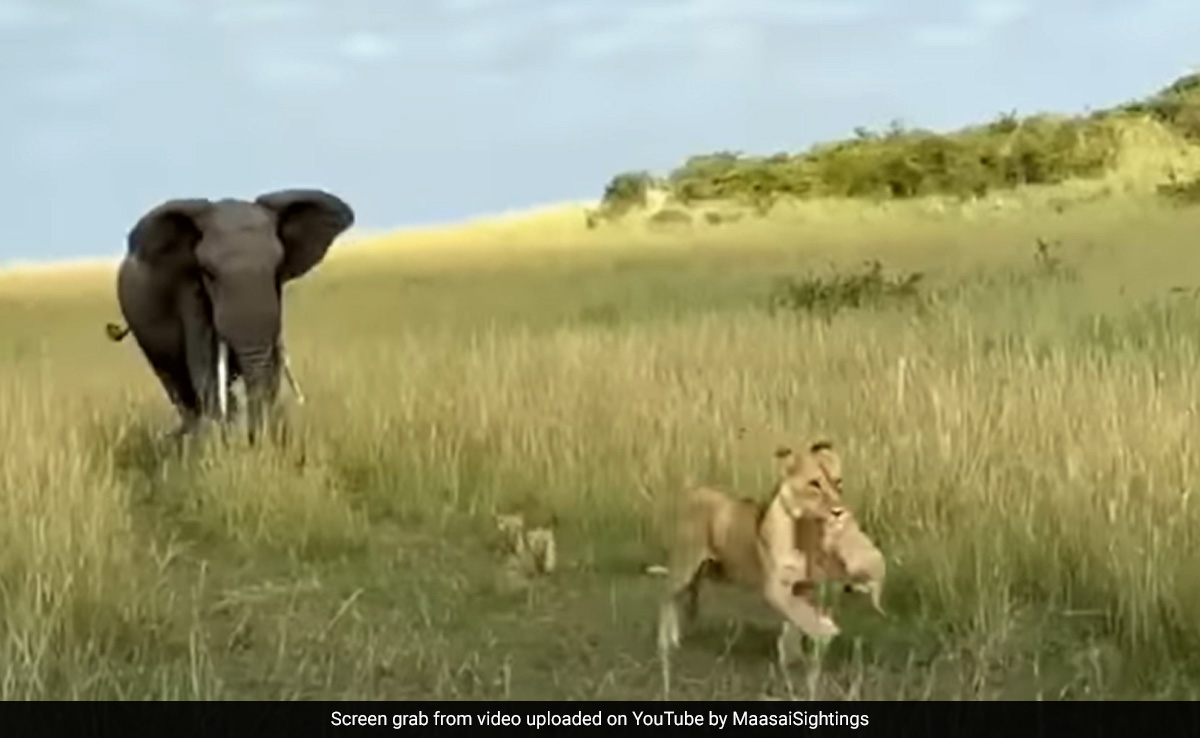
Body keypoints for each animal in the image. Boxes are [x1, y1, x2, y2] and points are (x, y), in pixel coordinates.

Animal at [113, 188, 354, 443]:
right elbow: (207, 372)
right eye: (208, 273)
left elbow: (270, 369)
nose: (254, 439)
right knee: (178, 386)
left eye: (278, 269)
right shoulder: (191, 293)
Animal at [654, 440, 886, 697]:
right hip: (685, 565)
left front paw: (791, 657)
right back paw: (666, 640)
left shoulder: (804, 586)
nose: (839, 511)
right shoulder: (775, 588)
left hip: (710, 570)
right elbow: (799, 613)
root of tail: (696, 491)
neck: (800, 531)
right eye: (814, 484)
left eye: (838, 482)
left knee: (686, 595)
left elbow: (795, 620)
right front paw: (824, 630)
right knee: (665, 595)